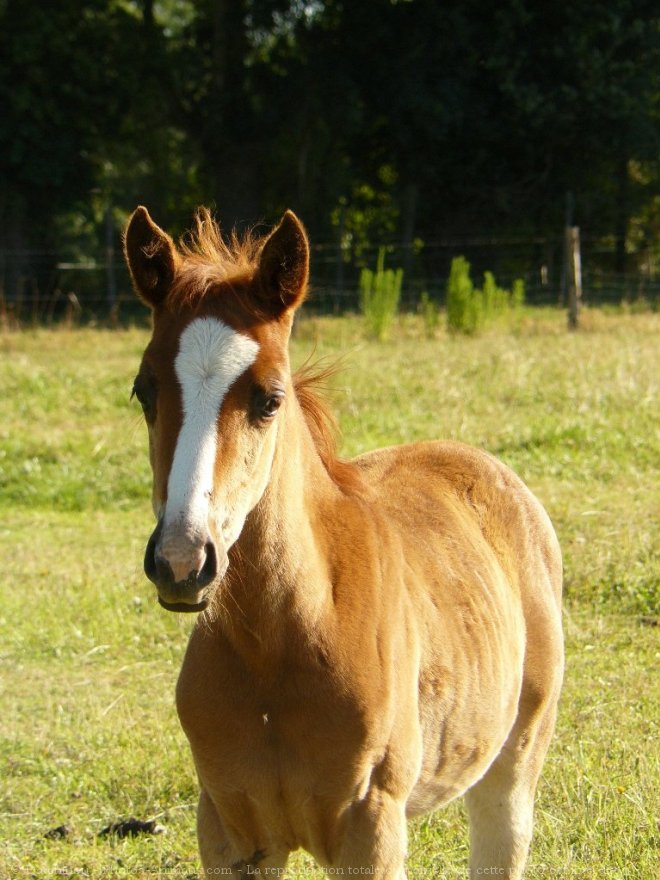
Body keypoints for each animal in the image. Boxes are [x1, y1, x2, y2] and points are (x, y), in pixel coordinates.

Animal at [124, 208, 564, 880]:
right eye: (143, 391)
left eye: (270, 399)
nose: (182, 560)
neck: (281, 642)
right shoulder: (228, 833)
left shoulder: (370, 829)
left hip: (510, 774)